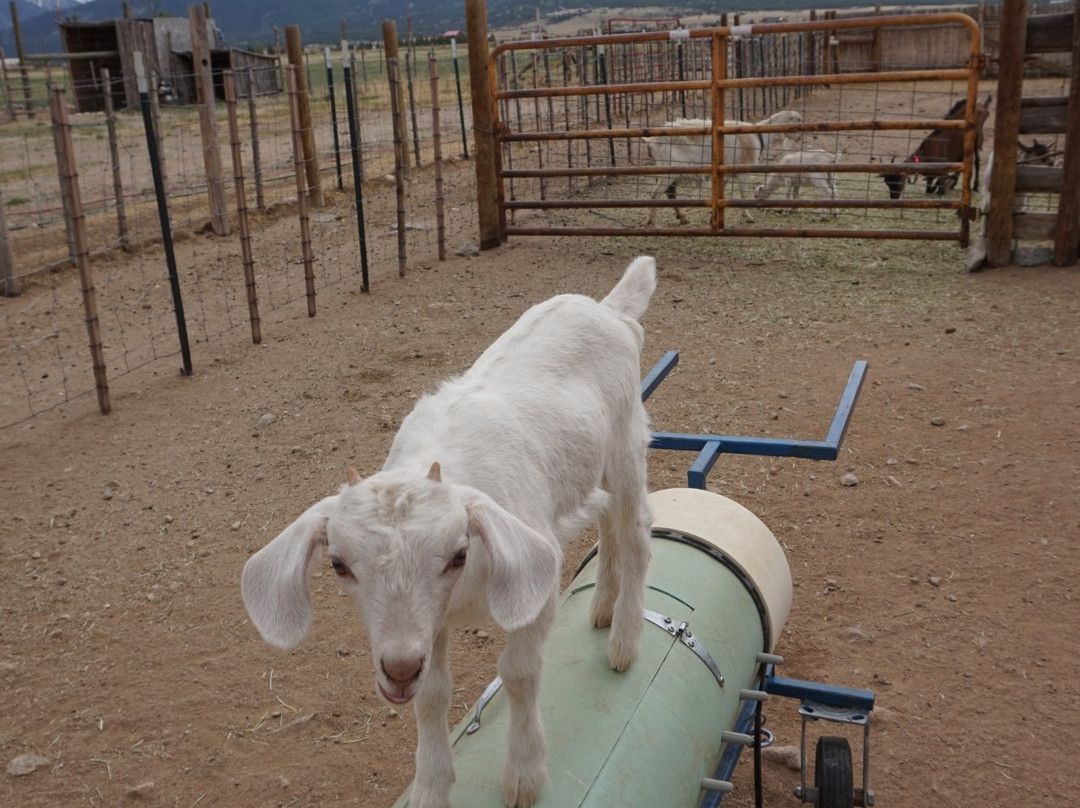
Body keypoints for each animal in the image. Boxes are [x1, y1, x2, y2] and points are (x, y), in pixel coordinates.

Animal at [241, 257, 657, 808]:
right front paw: (431, 787)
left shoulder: (534, 589)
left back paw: (624, 642)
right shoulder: (427, 625)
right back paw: (603, 609)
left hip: (627, 445)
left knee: (636, 535)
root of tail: (608, 308)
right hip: (593, 468)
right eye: (338, 564)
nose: (397, 669)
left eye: (458, 554)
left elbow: (519, 673)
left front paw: (524, 776)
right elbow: (432, 695)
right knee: (608, 524)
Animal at [641, 110, 802, 226]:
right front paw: (748, 216)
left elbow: (721, 193)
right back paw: (652, 222)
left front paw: (713, 217)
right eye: (798, 120)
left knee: (670, 193)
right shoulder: (743, 171)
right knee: (657, 194)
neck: (757, 136)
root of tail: (652, 141)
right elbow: (743, 194)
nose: (800, 138)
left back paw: (682, 218)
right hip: (669, 170)